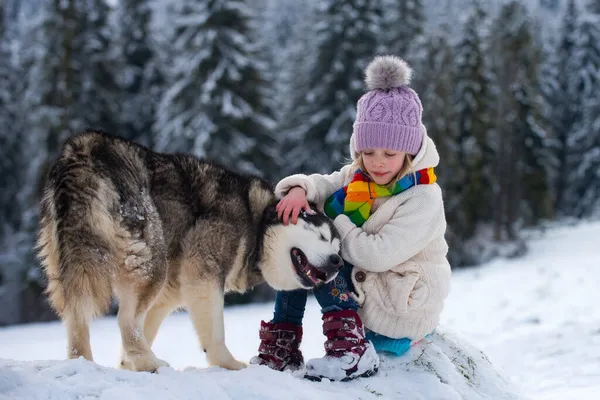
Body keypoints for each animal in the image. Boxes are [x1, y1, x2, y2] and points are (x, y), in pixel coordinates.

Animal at [38, 130, 342, 372]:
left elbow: (147, 327)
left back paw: (85, 363)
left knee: (79, 316)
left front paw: (127, 364)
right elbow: (215, 335)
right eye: (322, 236)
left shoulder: (169, 297)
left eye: (338, 246)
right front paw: (230, 364)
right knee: (125, 320)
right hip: (151, 264)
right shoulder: (204, 274)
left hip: (77, 263)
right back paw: (149, 362)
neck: (256, 222)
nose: (338, 262)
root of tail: (83, 149)